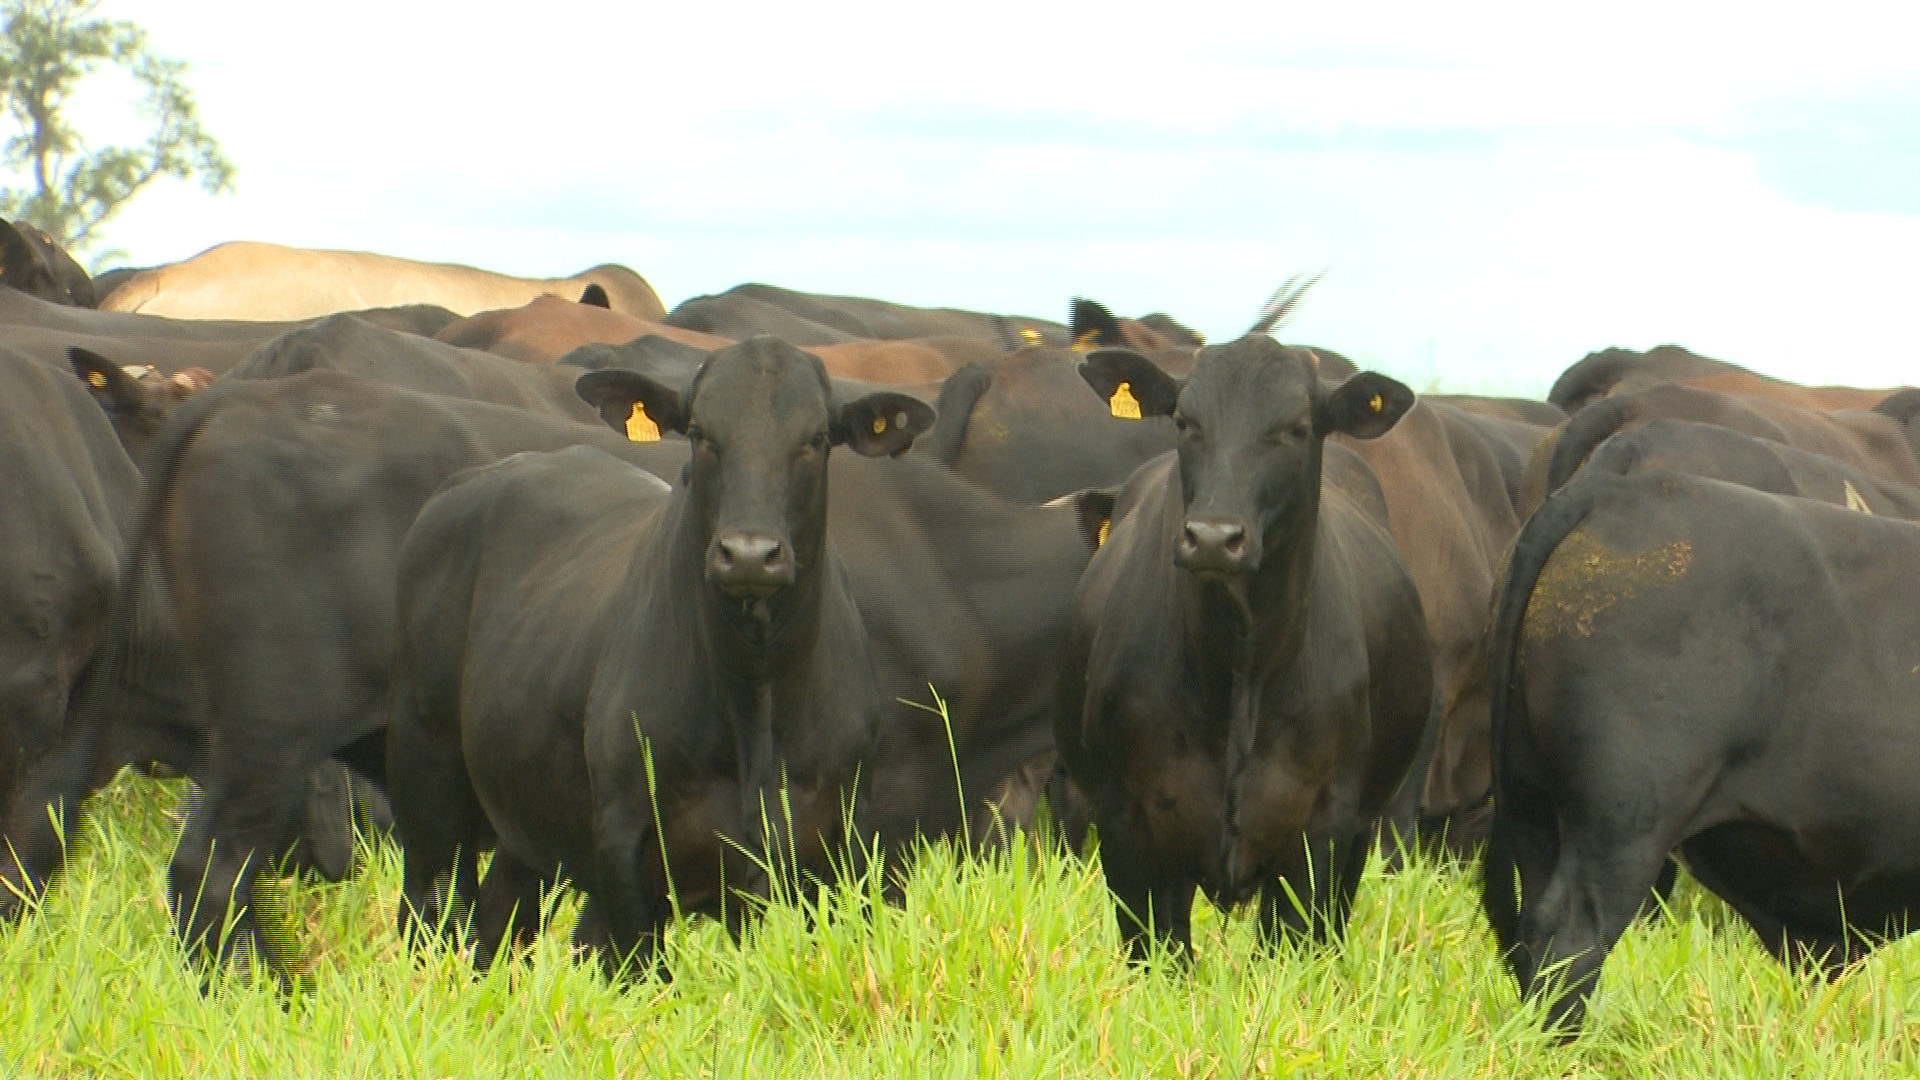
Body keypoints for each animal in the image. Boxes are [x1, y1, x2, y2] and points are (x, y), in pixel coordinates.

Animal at [389, 338, 929, 976]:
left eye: (817, 436)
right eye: (698, 431)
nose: (750, 553)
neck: (757, 699)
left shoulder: (845, 844)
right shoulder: (623, 851)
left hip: (524, 824)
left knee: (497, 925)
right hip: (426, 782)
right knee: (426, 915)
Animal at [1059, 332, 1436, 953]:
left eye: (1297, 427)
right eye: (1185, 421)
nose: (1214, 537)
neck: (1240, 665)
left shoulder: (1320, 827)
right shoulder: (1129, 826)